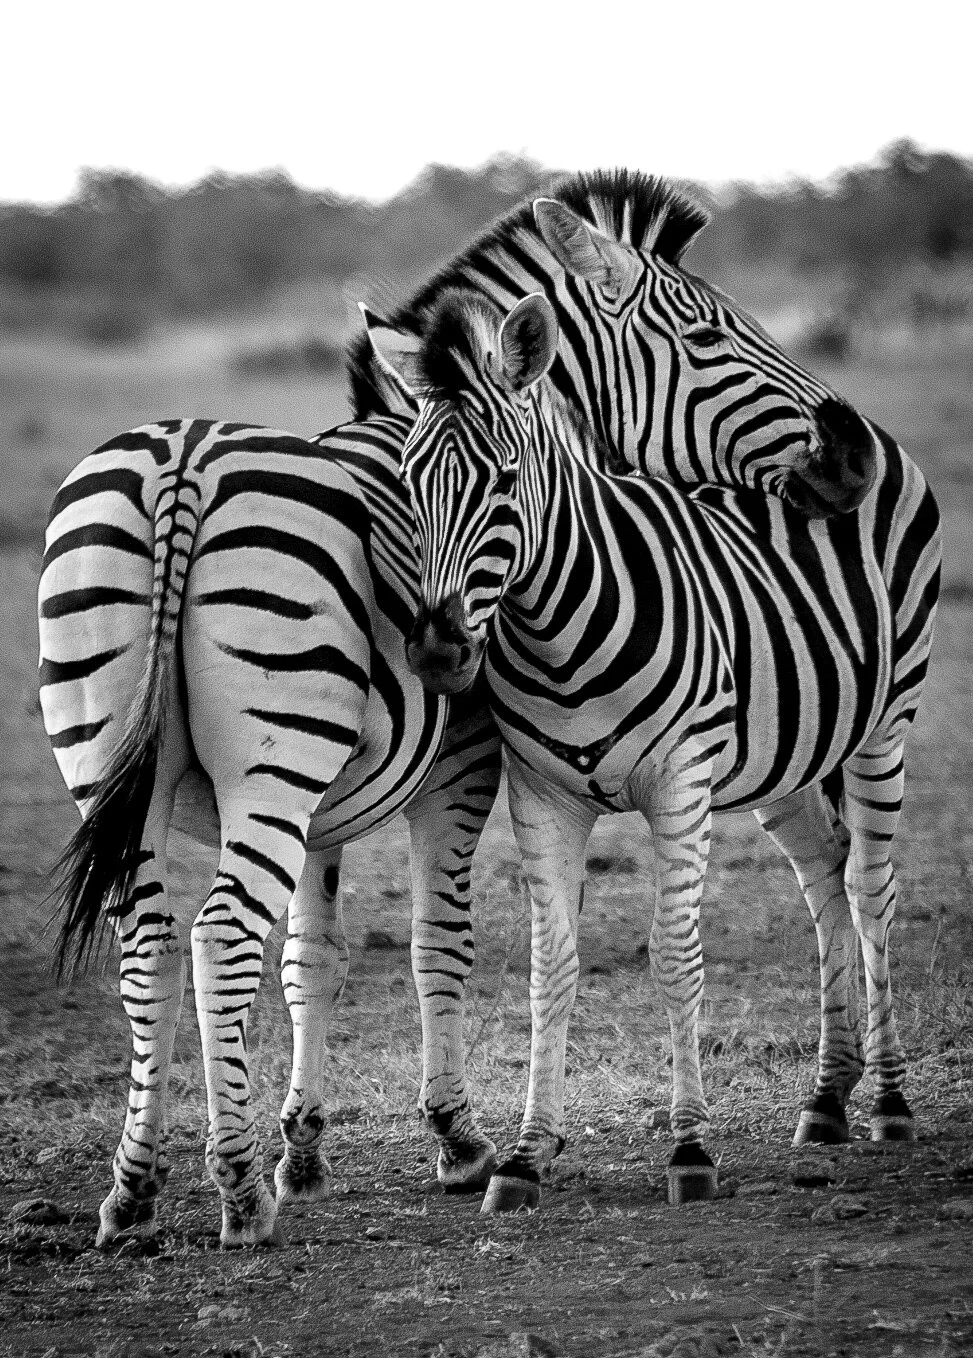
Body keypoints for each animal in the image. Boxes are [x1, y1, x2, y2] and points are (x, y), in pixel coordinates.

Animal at [352, 169, 939, 1159]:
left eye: (504, 480)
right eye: (706, 336)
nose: (848, 452)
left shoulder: (655, 781)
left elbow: (670, 954)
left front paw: (681, 1139)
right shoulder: (524, 786)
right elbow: (526, 957)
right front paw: (514, 1145)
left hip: (881, 726)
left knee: (869, 891)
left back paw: (889, 1099)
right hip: (784, 746)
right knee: (825, 876)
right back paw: (827, 1097)